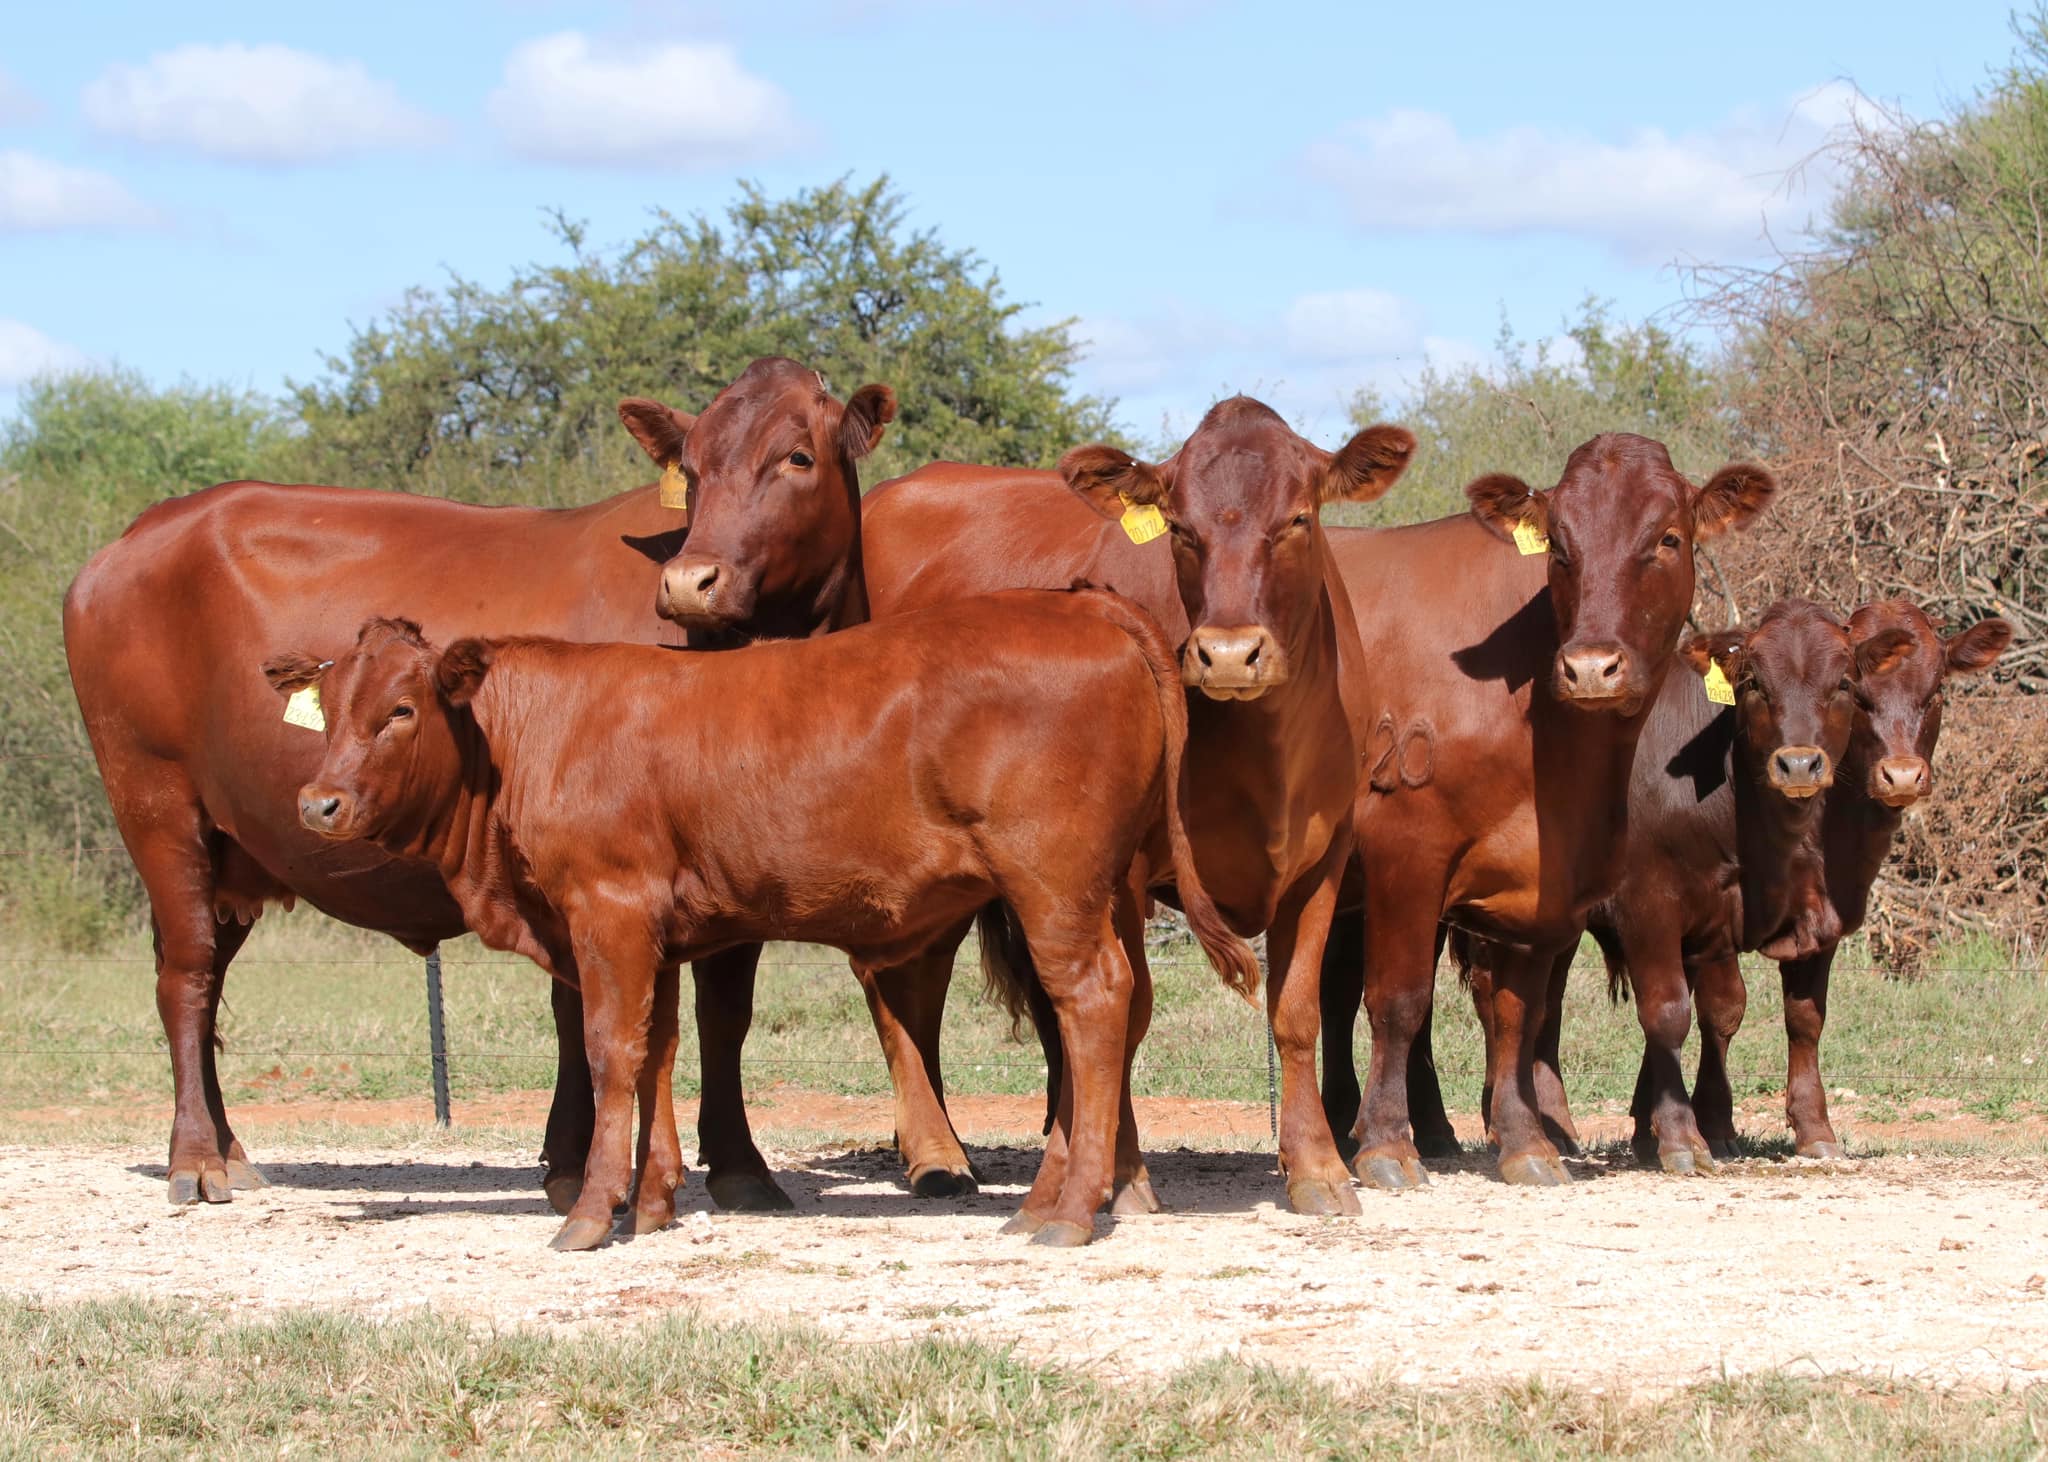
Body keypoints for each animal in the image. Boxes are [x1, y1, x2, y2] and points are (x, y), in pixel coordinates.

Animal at [63, 356, 889, 1208]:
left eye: (798, 457)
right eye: (689, 470)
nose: (689, 581)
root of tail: (144, 529)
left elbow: (723, 1007)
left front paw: (736, 1167)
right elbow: (586, 1007)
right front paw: (581, 1164)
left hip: (235, 844)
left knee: (206, 972)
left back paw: (229, 1150)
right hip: (158, 806)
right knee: (186, 976)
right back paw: (195, 1158)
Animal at [264, 595, 1259, 1249]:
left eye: (401, 711)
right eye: (330, 712)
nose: (317, 804)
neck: (527, 739)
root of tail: (1086, 610)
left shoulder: (606, 913)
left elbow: (610, 1051)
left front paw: (591, 1214)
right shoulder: (654, 929)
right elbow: (658, 1051)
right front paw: (653, 1202)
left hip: (1054, 887)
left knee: (1090, 1007)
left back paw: (1073, 1212)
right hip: (1110, 889)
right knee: (1121, 1013)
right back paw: (1055, 1200)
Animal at [681, 397, 1418, 1217]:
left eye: (1298, 519)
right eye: (1180, 529)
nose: (1228, 654)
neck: (1269, 754)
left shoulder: (1322, 864)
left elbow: (1295, 1014)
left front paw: (1317, 1168)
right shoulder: (1122, 873)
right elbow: (1132, 1011)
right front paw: (1124, 1178)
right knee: (899, 988)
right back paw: (936, 1153)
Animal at [1315, 434, 1776, 1188]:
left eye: (1669, 537)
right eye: (1559, 545)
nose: (1591, 667)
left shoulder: (1534, 881)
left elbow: (1516, 1013)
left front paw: (1527, 1143)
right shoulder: (1405, 854)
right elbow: (1399, 999)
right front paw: (1386, 1145)